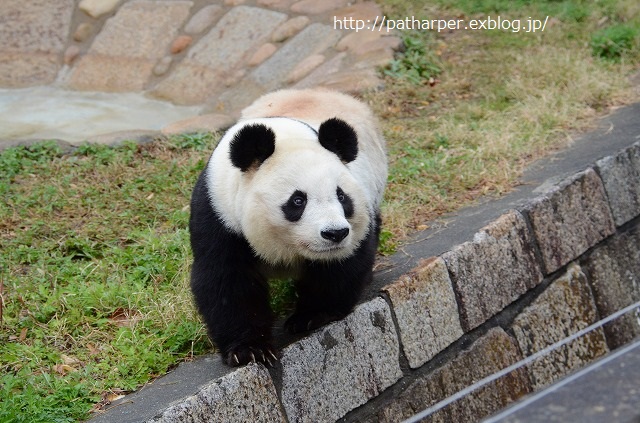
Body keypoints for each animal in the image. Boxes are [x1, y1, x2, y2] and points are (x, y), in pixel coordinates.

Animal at [190, 89, 388, 368]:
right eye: (298, 201)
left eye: (341, 197)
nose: (335, 233)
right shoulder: (219, 214)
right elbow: (226, 279)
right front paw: (249, 349)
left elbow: (340, 266)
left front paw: (312, 316)